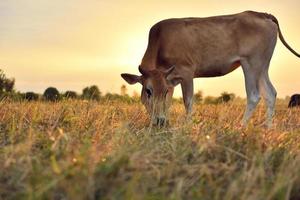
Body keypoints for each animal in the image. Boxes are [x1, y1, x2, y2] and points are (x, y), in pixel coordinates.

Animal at [120, 10, 298, 127]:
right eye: (148, 91)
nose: (160, 121)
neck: (160, 43)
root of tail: (262, 14)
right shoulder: (170, 79)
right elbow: (169, 102)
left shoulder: (187, 73)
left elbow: (188, 101)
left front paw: (187, 126)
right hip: (262, 66)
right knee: (270, 93)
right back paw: (268, 127)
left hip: (251, 63)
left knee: (254, 95)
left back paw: (241, 127)